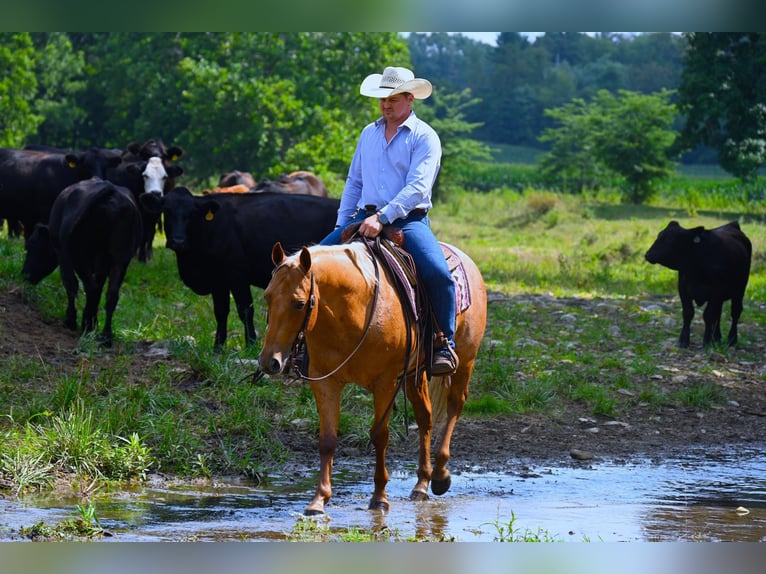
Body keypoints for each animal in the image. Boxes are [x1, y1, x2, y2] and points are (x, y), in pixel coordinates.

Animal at [21, 178, 142, 346]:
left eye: (32, 244)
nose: (24, 274)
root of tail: (109, 190)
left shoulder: (63, 253)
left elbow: (71, 284)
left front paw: (74, 321)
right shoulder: (103, 264)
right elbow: (99, 288)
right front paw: (93, 321)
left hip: (79, 254)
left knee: (81, 285)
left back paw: (80, 323)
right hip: (121, 257)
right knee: (110, 294)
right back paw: (105, 335)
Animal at [141, 189, 340, 352]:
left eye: (192, 214)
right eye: (167, 210)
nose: (178, 241)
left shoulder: (236, 276)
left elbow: (245, 310)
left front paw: (250, 343)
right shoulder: (218, 281)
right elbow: (221, 312)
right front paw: (218, 346)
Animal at [258, 240, 486, 516]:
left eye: (299, 303)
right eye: (267, 297)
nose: (269, 361)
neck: (352, 314)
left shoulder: (384, 384)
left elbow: (380, 436)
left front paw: (379, 498)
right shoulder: (325, 382)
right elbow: (327, 440)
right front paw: (319, 500)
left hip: (465, 360)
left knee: (455, 405)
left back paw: (440, 475)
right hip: (414, 374)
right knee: (425, 417)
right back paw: (421, 484)